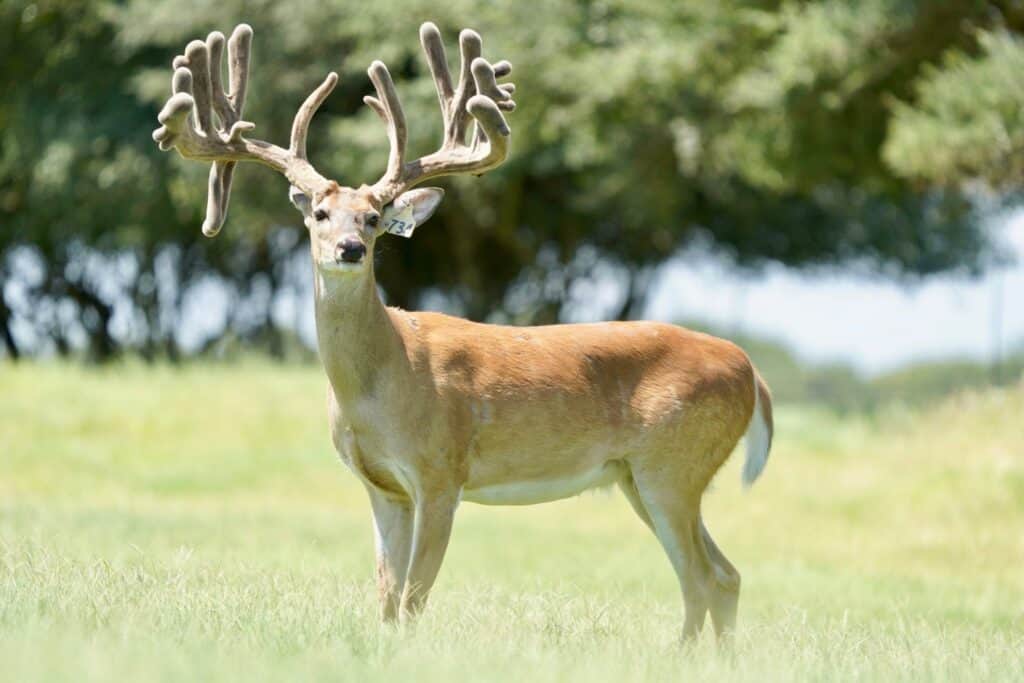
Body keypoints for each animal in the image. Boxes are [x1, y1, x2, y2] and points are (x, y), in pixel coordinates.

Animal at [152, 22, 774, 644]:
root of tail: (751, 372)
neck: (383, 380)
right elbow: (385, 596)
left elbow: (412, 598)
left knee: (701, 576)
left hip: (672, 463)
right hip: (639, 476)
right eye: (320, 215)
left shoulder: (440, 471)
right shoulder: (383, 487)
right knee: (725, 574)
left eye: (374, 218)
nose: (350, 249)